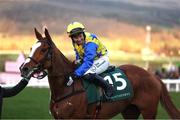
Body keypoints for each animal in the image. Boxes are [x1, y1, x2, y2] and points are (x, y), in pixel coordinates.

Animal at [20, 28, 180, 119]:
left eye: (43, 50)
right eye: (31, 48)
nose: (24, 68)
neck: (65, 87)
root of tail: (153, 76)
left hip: (148, 111)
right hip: (130, 111)